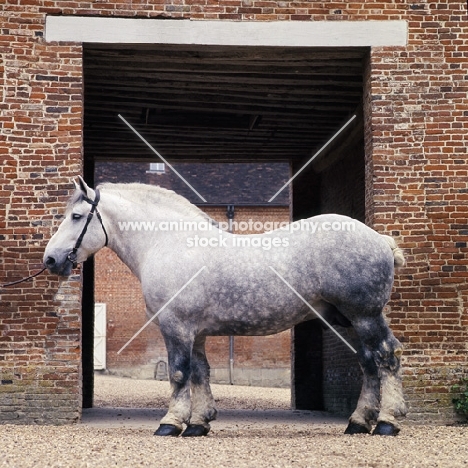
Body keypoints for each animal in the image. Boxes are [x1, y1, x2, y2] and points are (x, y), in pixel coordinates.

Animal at [44, 177, 410, 436]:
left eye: (76, 216)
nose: (51, 259)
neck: (168, 244)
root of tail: (379, 239)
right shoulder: (196, 332)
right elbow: (200, 373)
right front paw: (199, 423)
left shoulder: (176, 327)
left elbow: (179, 373)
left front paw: (170, 422)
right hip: (349, 320)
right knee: (368, 363)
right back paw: (358, 422)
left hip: (365, 316)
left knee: (386, 357)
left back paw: (388, 422)